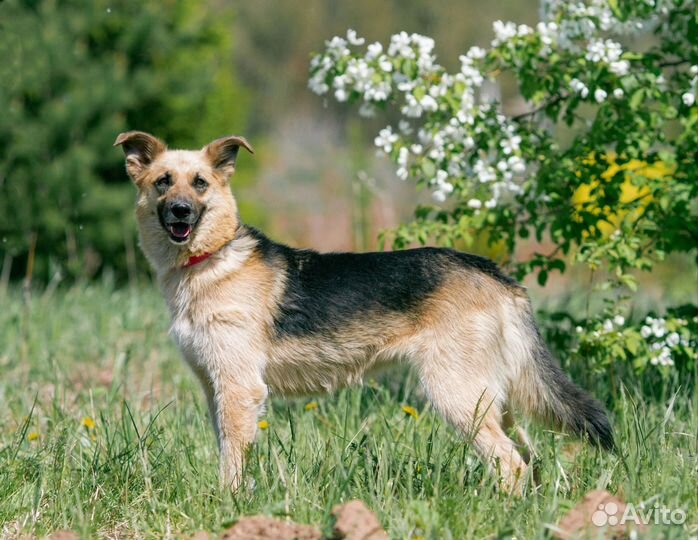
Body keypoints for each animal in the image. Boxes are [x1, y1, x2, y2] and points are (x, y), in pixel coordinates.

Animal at [115, 131, 616, 494]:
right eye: (163, 182)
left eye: (200, 183)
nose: (180, 211)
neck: (211, 259)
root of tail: (497, 276)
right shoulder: (215, 388)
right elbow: (227, 449)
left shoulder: (239, 389)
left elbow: (232, 462)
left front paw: (227, 505)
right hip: (497, 398)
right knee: (529, 460)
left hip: (457, 394)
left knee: (510, 464)